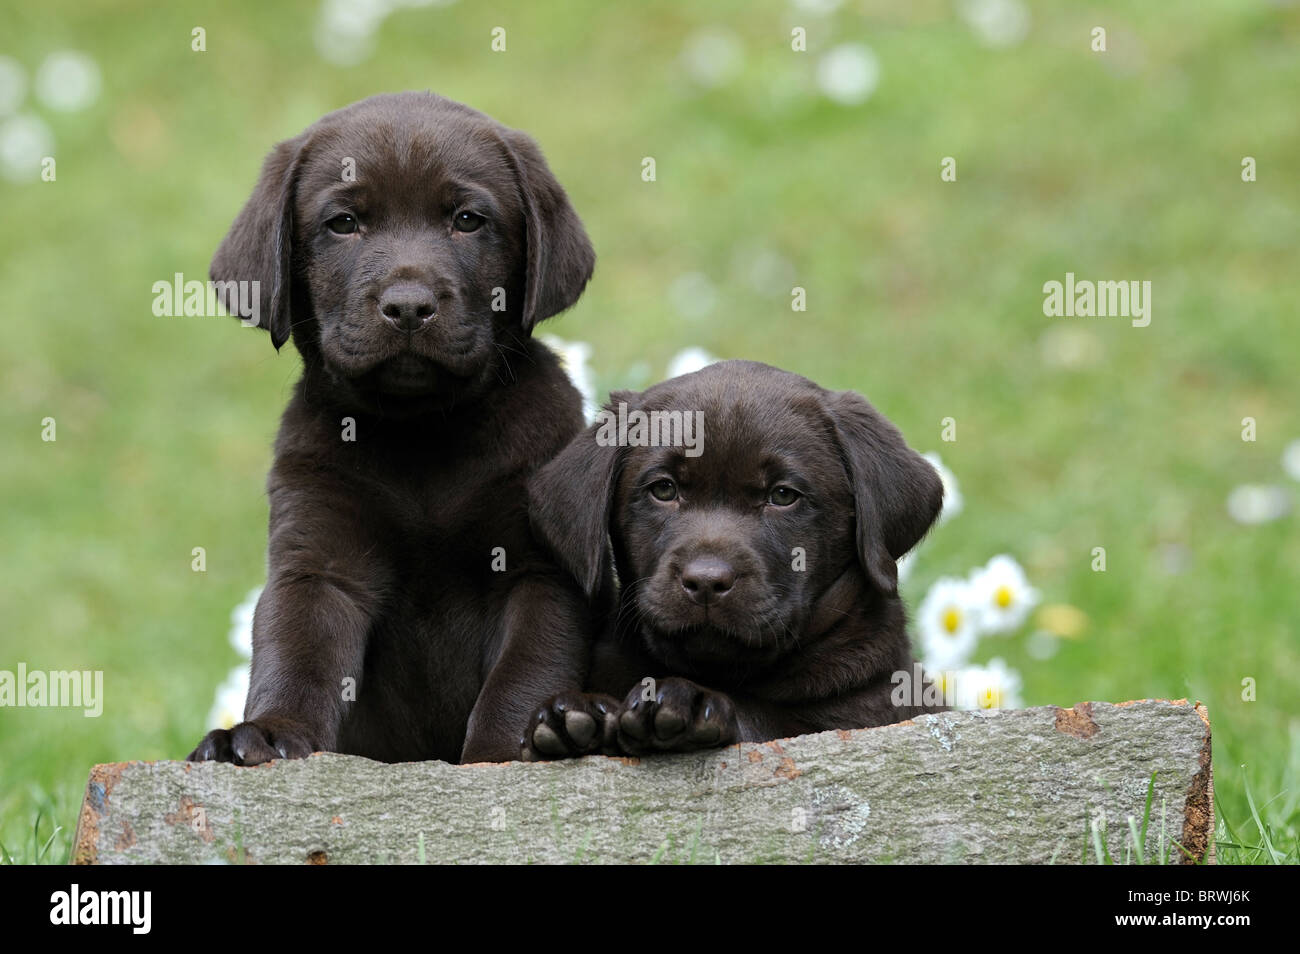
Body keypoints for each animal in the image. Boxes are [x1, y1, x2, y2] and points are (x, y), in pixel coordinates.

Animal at [517, 361, 946, 764]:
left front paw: (688, 705)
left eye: (783, 495)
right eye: (664, 489)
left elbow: (767, 720)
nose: (706, 582)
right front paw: (579, 713)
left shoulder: (864, 712)